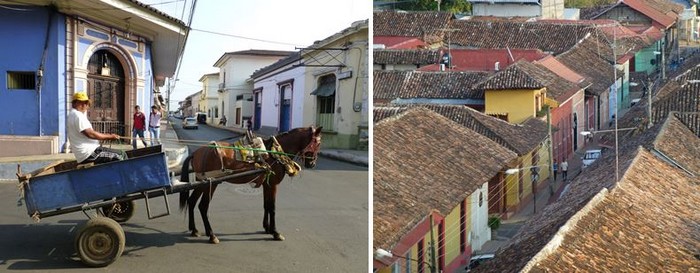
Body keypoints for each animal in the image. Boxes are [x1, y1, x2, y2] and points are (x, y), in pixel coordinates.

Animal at [179, 125, 324, 242]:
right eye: (318, 143)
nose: (312, 164)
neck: (274, 152)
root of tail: (196, 152)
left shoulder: (267, 185)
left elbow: (266, 205)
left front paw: (267, 228)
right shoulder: (273, 185)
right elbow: (272, 208)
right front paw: (275, 232)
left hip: (201, 182)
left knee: (191, 201)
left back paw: (194, 230)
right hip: (211, 183)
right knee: (203, 206)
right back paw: (211, 235)